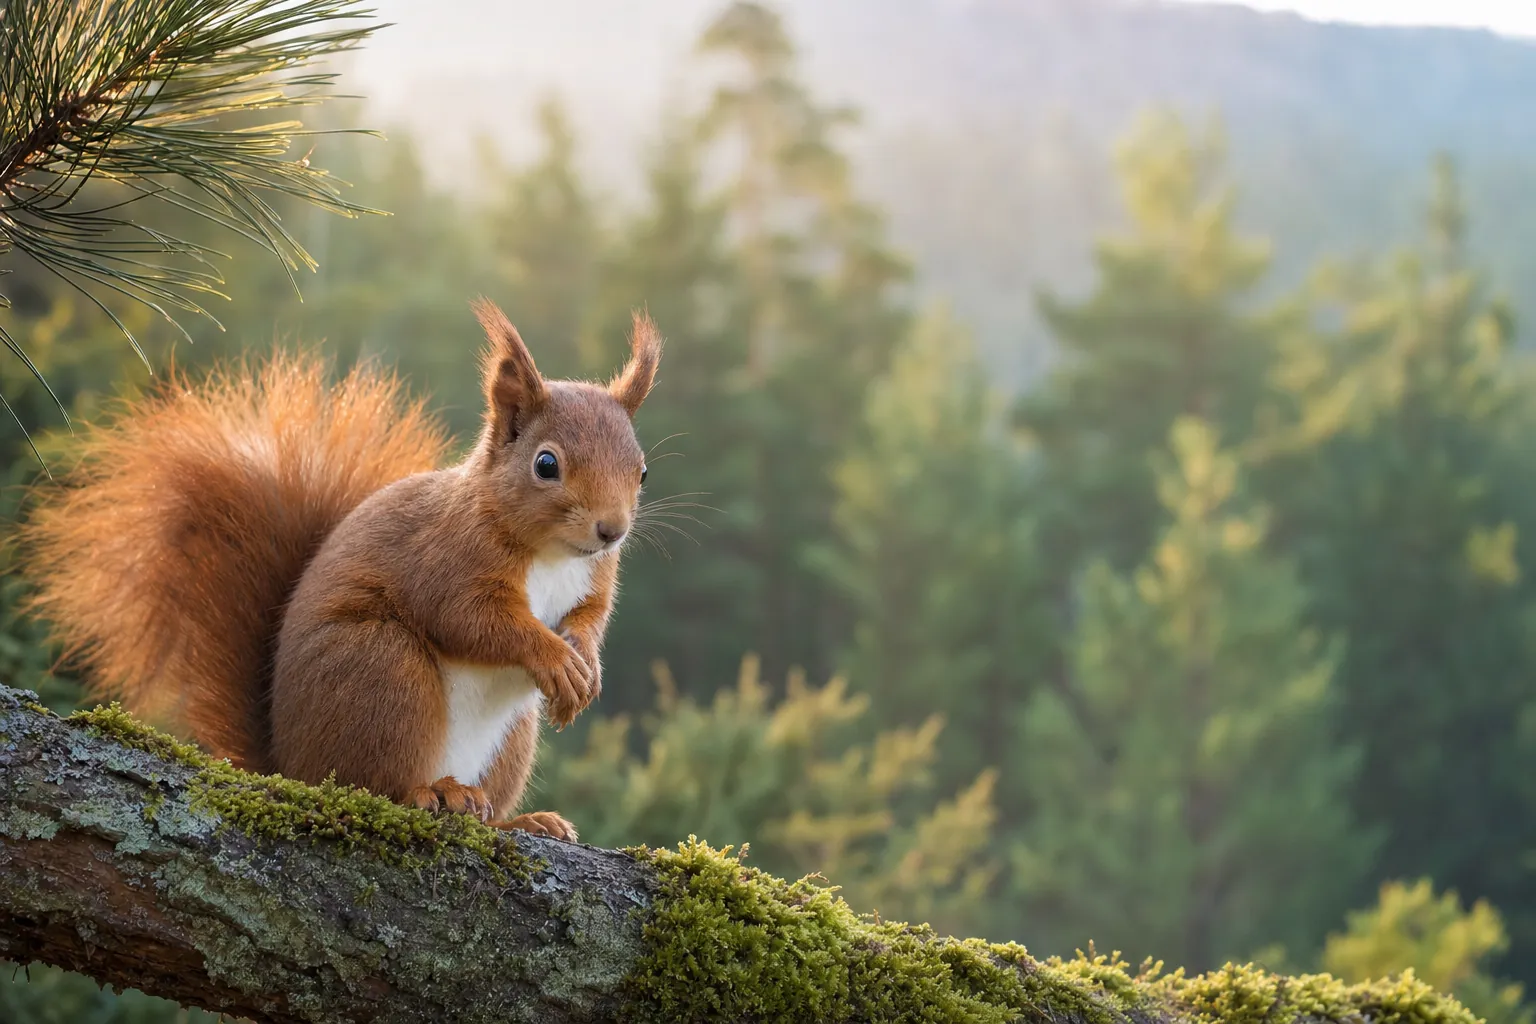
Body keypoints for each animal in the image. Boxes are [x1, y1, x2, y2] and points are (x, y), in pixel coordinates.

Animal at [21, 299, 662, 842]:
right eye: (546, 464)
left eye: (642, 470)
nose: (612, 531)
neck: (553, 556)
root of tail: (288, 765)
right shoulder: (447, 559)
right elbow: (472, 620)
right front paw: (554, 658)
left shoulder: (593, 581)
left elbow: (589, 617)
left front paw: (587, 665)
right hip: (382, 670)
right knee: (377, 784)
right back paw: (435, 793)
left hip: (508, 737)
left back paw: (522, 821)